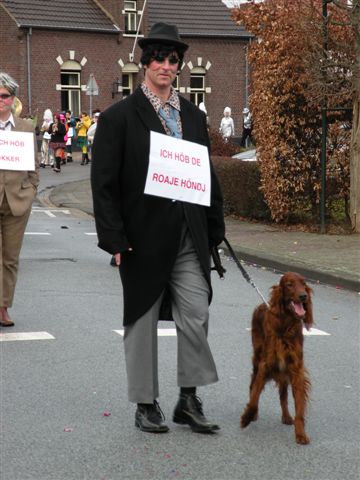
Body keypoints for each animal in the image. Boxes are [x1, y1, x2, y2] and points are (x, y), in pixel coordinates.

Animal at [240, 272, 314, 444]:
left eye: (304, 283)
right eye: (289, 284)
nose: (304, 296)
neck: (285, 326)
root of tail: (263, 304)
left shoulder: (296, 370)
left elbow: (299, 407)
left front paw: (301, 434)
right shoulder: (265, 365)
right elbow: (254, 397)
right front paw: (247, 416)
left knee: (283, 395)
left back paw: (286, 416)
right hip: (257, 358)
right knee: (252, 386)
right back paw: (253, 415)